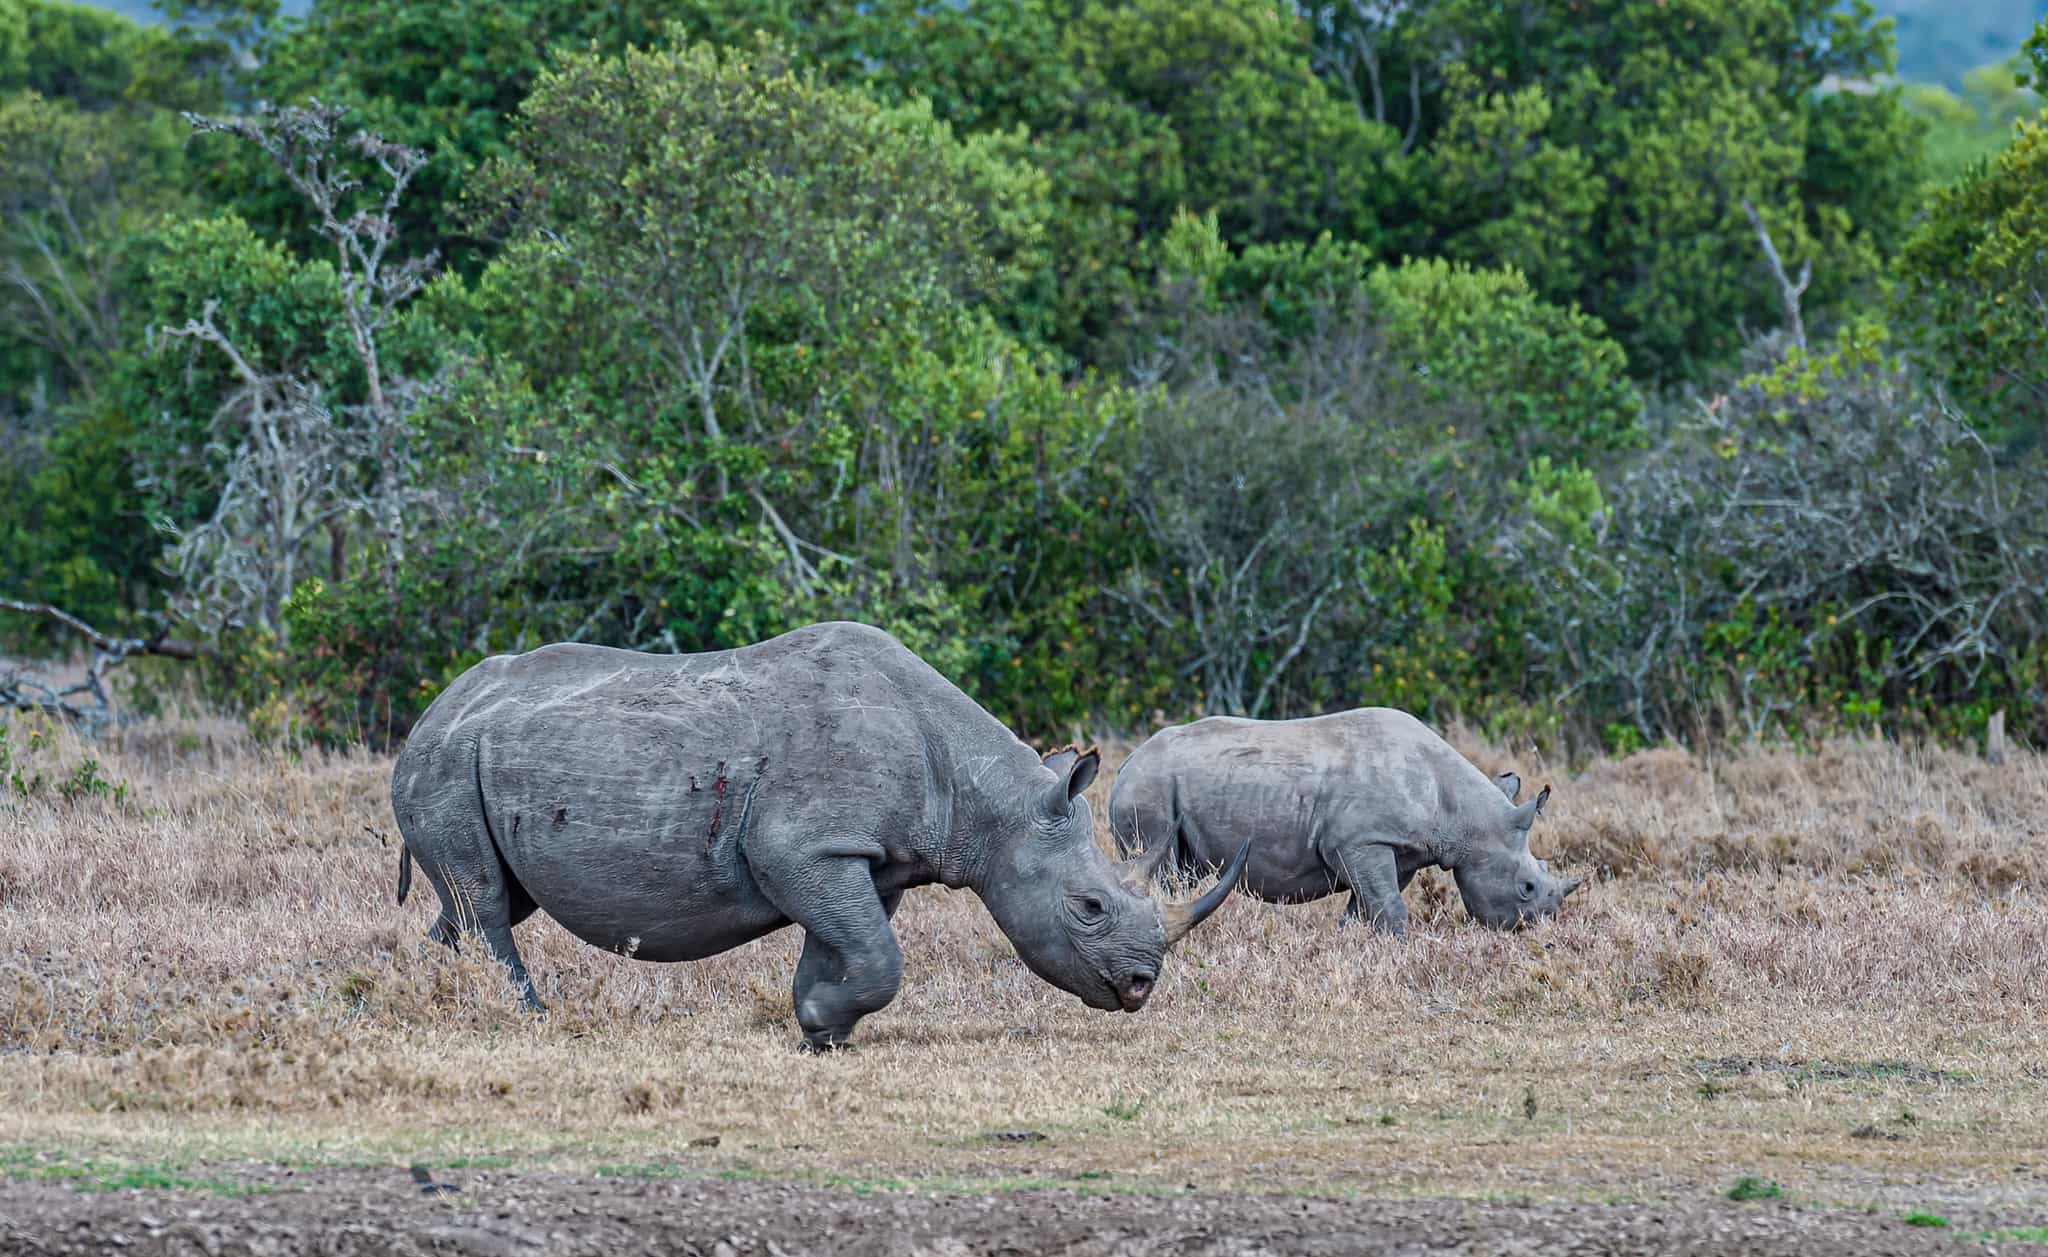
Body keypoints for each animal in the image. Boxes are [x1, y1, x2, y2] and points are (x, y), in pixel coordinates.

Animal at [391, 621, 1251, 1049]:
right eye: (1090, 907)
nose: (1139, 987)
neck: (989, 800)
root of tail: (433, 710)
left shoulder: (863, 857)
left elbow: (850, 946)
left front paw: (818, 1023)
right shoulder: (804, 847)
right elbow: (879, 956)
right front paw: (820, 1022)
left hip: (468, 755)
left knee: (478, 901)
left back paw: (427, 998)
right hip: (444, 760)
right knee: (485, 899)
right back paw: (529, 1017)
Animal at [1108, 708, 1581, 935]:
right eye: (1527, 888)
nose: (1537, 928)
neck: (1463, 816)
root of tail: (1127, 761)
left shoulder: (1396, 850)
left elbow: (1369, 905)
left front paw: (1356, 944)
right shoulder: (1362, 841)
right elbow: (1388, 907)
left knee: (1182, 874)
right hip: (1150, 787)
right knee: (1163, 870)